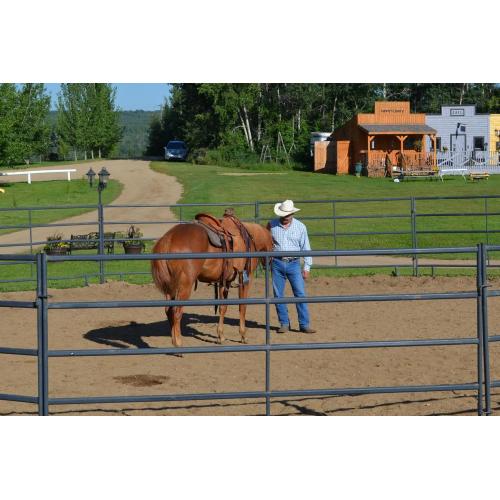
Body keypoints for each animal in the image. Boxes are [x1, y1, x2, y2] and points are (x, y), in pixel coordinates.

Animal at [151, 215, 274, 348]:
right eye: (274, 243)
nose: (270, 263)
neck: (250, 239)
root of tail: (168, 239)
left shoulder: (224, 281)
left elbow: (223, 307)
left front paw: (221, 336)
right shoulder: (246, 280)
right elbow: (242, 306)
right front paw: (243, 335)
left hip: (170, 288)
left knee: (168, 311)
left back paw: (174, 341)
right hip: (184, 286)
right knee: (176, 312)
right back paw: (178, 343)